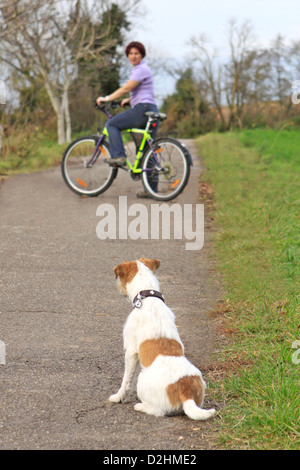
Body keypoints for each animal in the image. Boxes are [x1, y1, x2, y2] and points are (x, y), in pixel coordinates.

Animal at [110, 258, 216, 420]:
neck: (148, 298)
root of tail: (186, 392)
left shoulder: (131, 351)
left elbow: (126, 380)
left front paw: (118, 397)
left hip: (142, 379)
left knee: (158, 412)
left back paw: (140, 406)